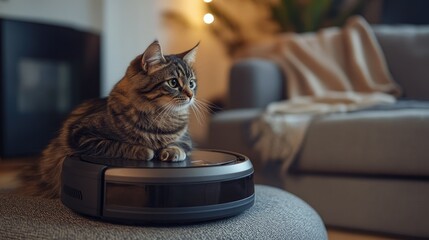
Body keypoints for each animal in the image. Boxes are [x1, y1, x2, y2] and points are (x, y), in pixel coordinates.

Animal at [19, 41, 199, 199]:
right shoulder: (82, 135)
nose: (191, 95)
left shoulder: (186, 139)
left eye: (191, 83)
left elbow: (180, 146)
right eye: (173, 83)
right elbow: (119, 145)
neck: (160, 117)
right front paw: (146, 151)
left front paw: (171, 152)